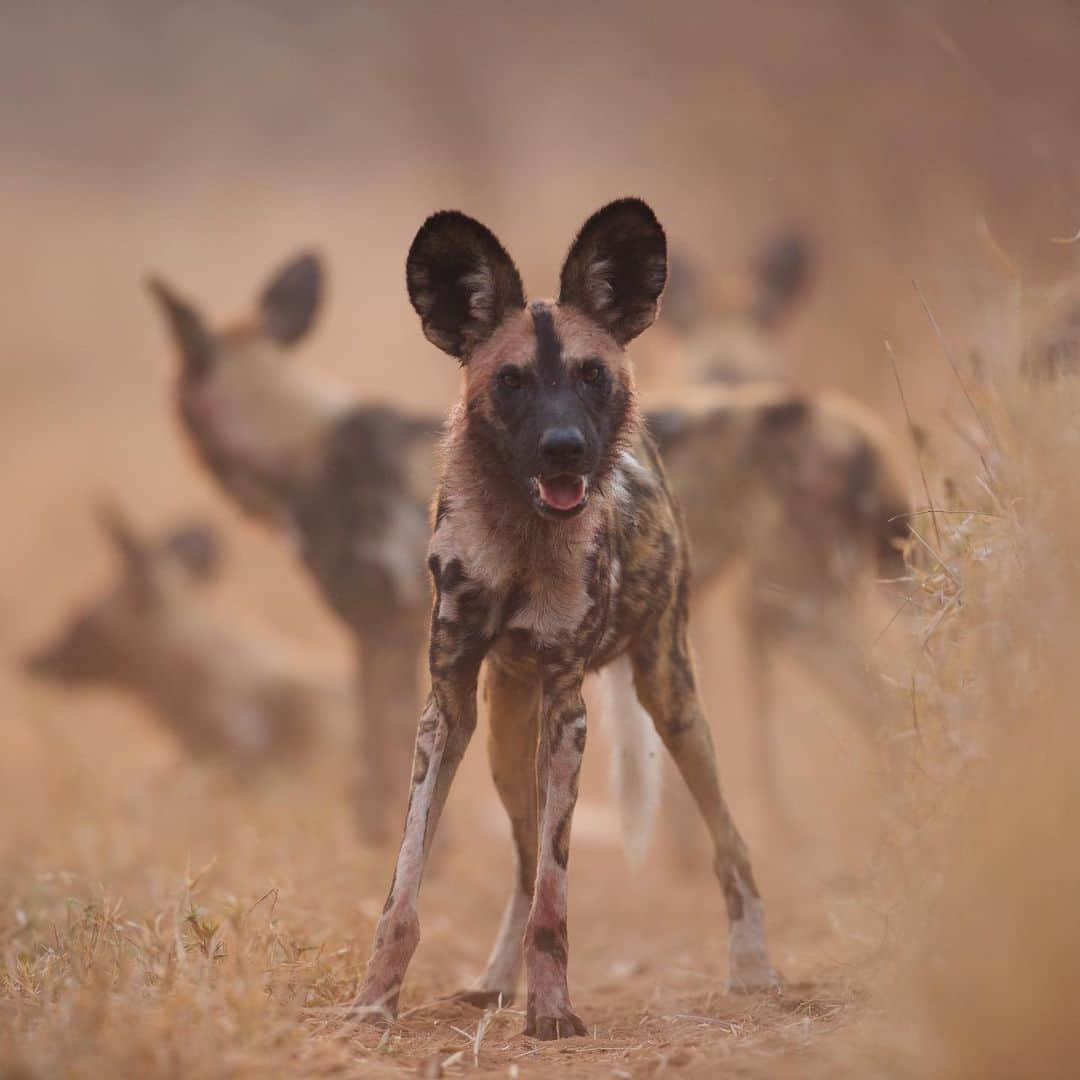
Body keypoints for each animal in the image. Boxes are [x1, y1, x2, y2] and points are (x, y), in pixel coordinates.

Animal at [352, 198, 777, 1041]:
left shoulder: (568, 709)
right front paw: (375, 999)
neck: (522, 535)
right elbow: (406, 886)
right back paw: (492, 982)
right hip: (503, 737)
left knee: (730, 841)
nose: (564, 449)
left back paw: (752, 968)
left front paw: (551, 1011)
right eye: (512, 381)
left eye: (591, 375)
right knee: (519, 862)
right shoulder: (446, 707)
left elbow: (556, 892)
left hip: (672, 703)